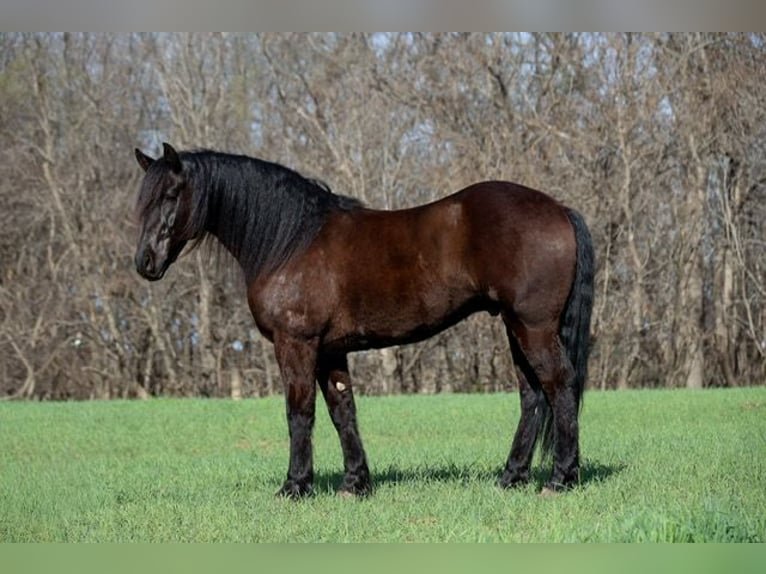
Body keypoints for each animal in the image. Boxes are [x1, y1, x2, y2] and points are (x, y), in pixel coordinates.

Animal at [133, 142, 594, 498]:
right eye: (143, 200)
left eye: (170, 195)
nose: (144, 262)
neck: (292, 241)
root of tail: (559, 208)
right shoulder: (330, 351)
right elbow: (343, 411)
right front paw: (355, 484)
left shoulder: (296, 343)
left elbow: (299, 412)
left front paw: (295, 486)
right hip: (515, 327)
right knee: (532, 395)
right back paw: (511, 477)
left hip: (533, 327)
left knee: (559, 386)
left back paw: (560, 479)